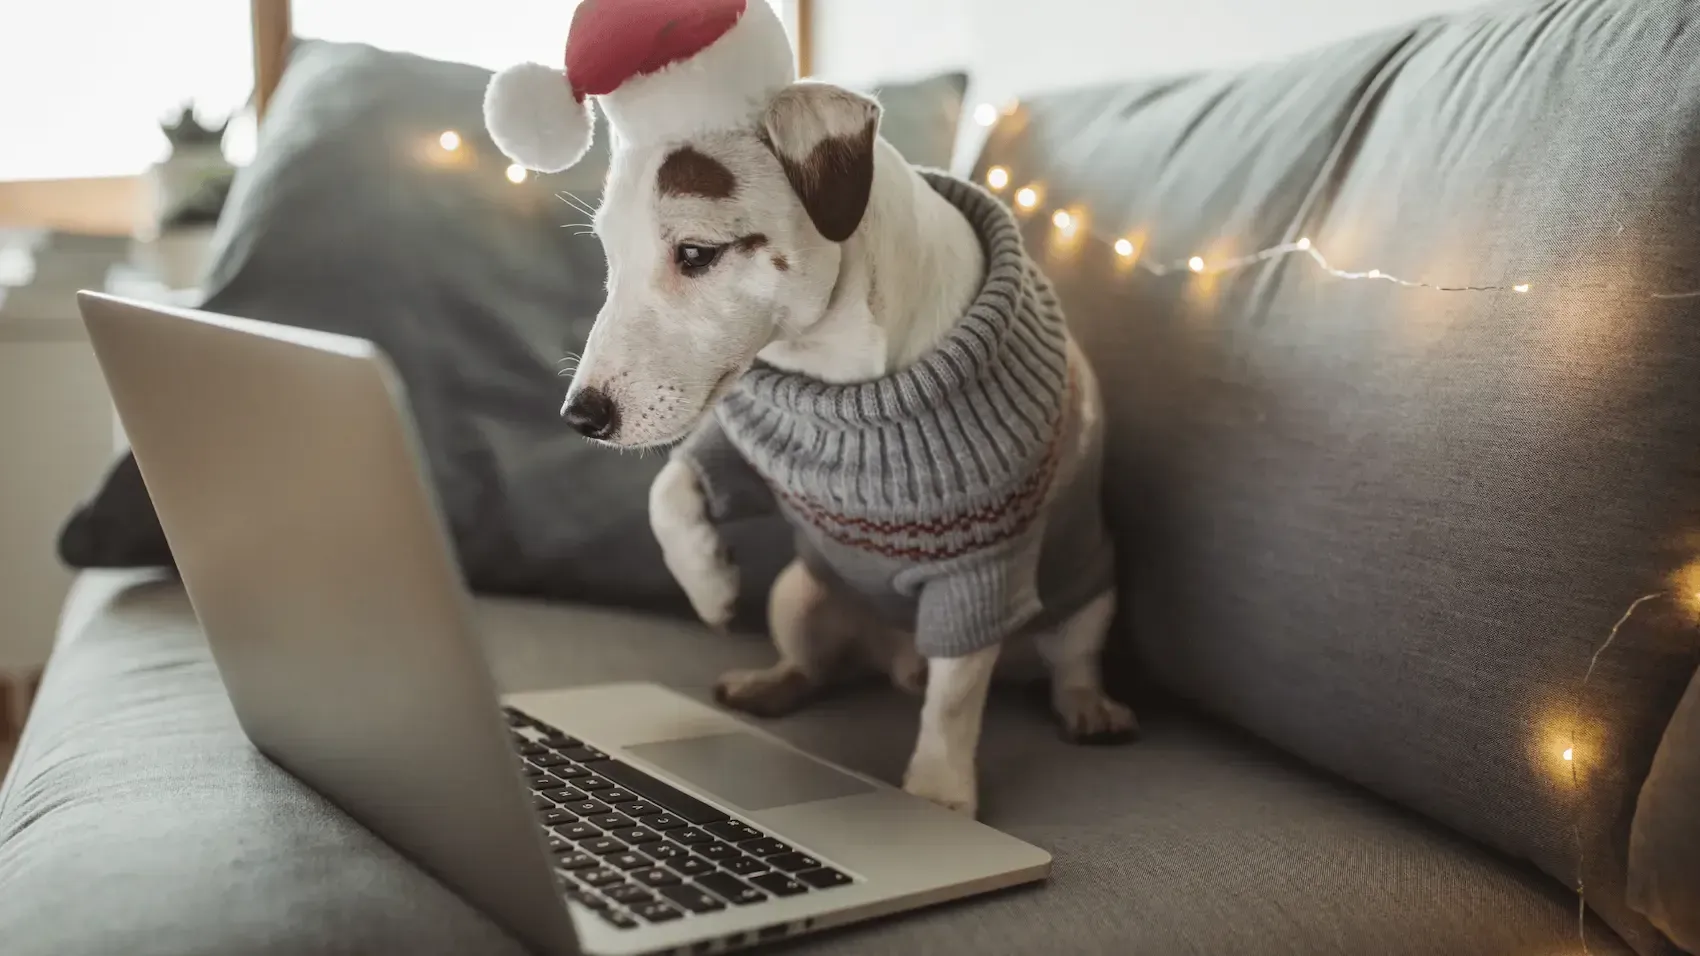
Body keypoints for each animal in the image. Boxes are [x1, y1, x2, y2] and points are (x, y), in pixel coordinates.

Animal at [486, 1, 1135, 819]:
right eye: (609, 255)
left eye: (696, 253)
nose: (581, 416)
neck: (838, 374)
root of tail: (896, 659)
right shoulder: (745, 453)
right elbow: (670, 488)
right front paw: (708, 584)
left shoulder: (983, 562)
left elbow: (956, 697)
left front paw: (938, 794)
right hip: (797, 594)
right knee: (816, 664)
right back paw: (766, 684)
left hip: (1091, 597)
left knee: (1065, 662)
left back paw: (1089, 708)